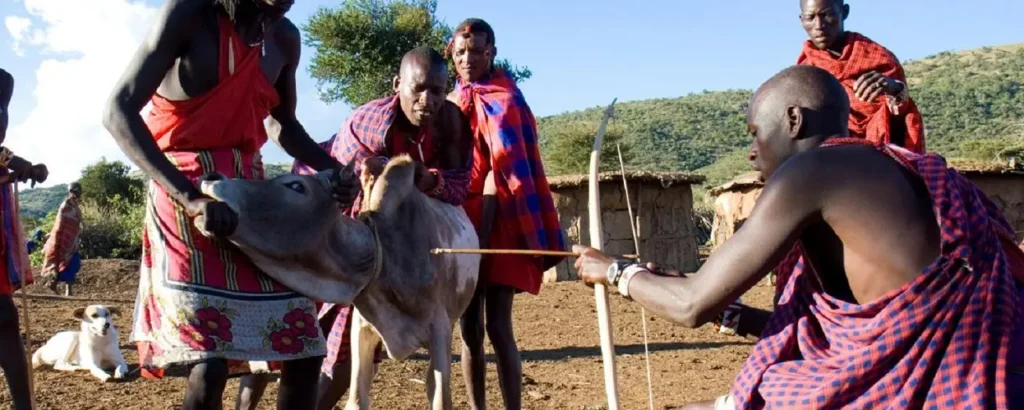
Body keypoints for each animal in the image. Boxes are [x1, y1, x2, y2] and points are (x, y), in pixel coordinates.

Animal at [197, 155, 480, 410]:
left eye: (296, 186)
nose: (212, 176)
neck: (382, 251)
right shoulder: (363, 327)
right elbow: (356, 400)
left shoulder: (440, 331)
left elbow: (440, 398)